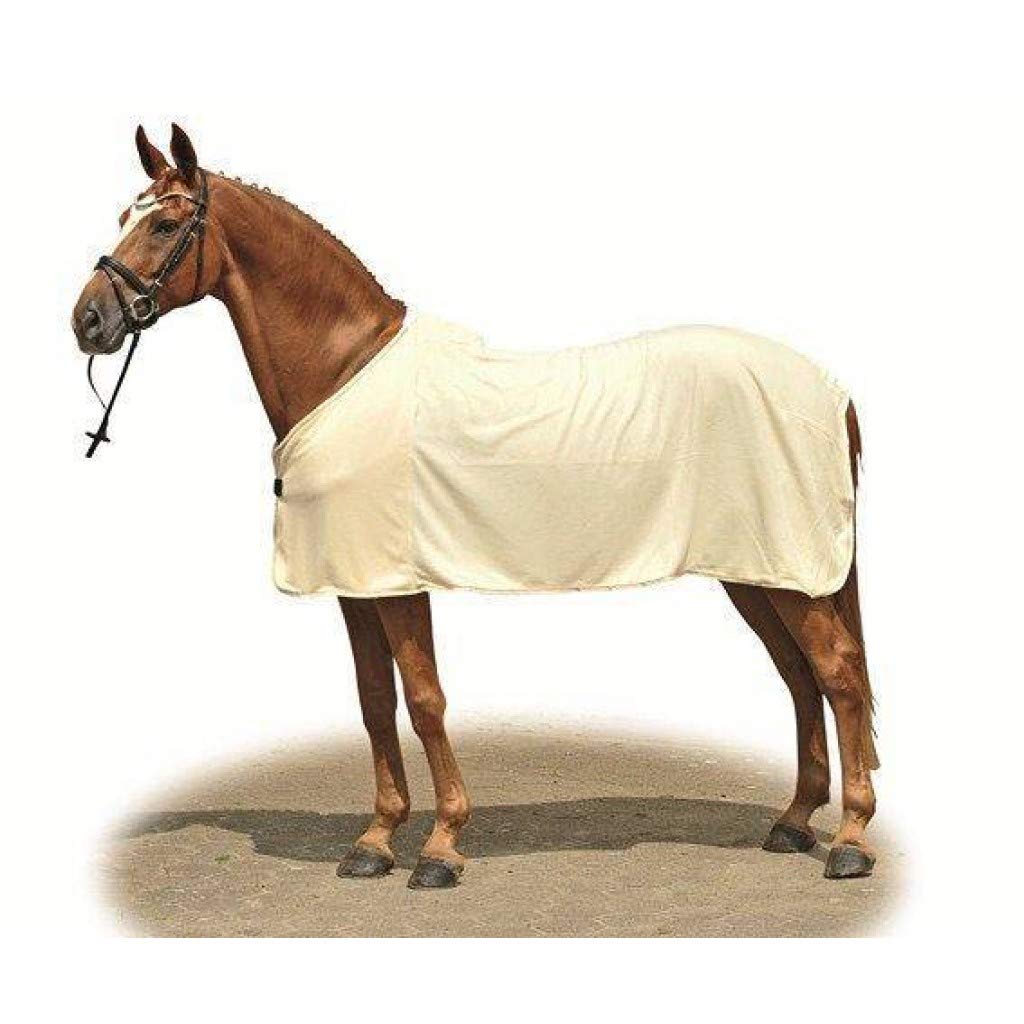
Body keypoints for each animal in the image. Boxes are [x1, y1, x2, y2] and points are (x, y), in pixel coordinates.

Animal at [71, 125, 878, 889]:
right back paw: (795, 822)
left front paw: (441, 847)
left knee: (837, 673)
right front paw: (374, 841)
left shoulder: (397, 582)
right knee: (800, 676)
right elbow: (374, 700)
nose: (88, 321)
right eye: (122, 217)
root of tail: (833, 392)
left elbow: (425, 698)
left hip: (790, 573)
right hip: (756, 571)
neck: (345, 371)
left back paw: (850, 841)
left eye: (166, 225)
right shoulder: (356, 584)